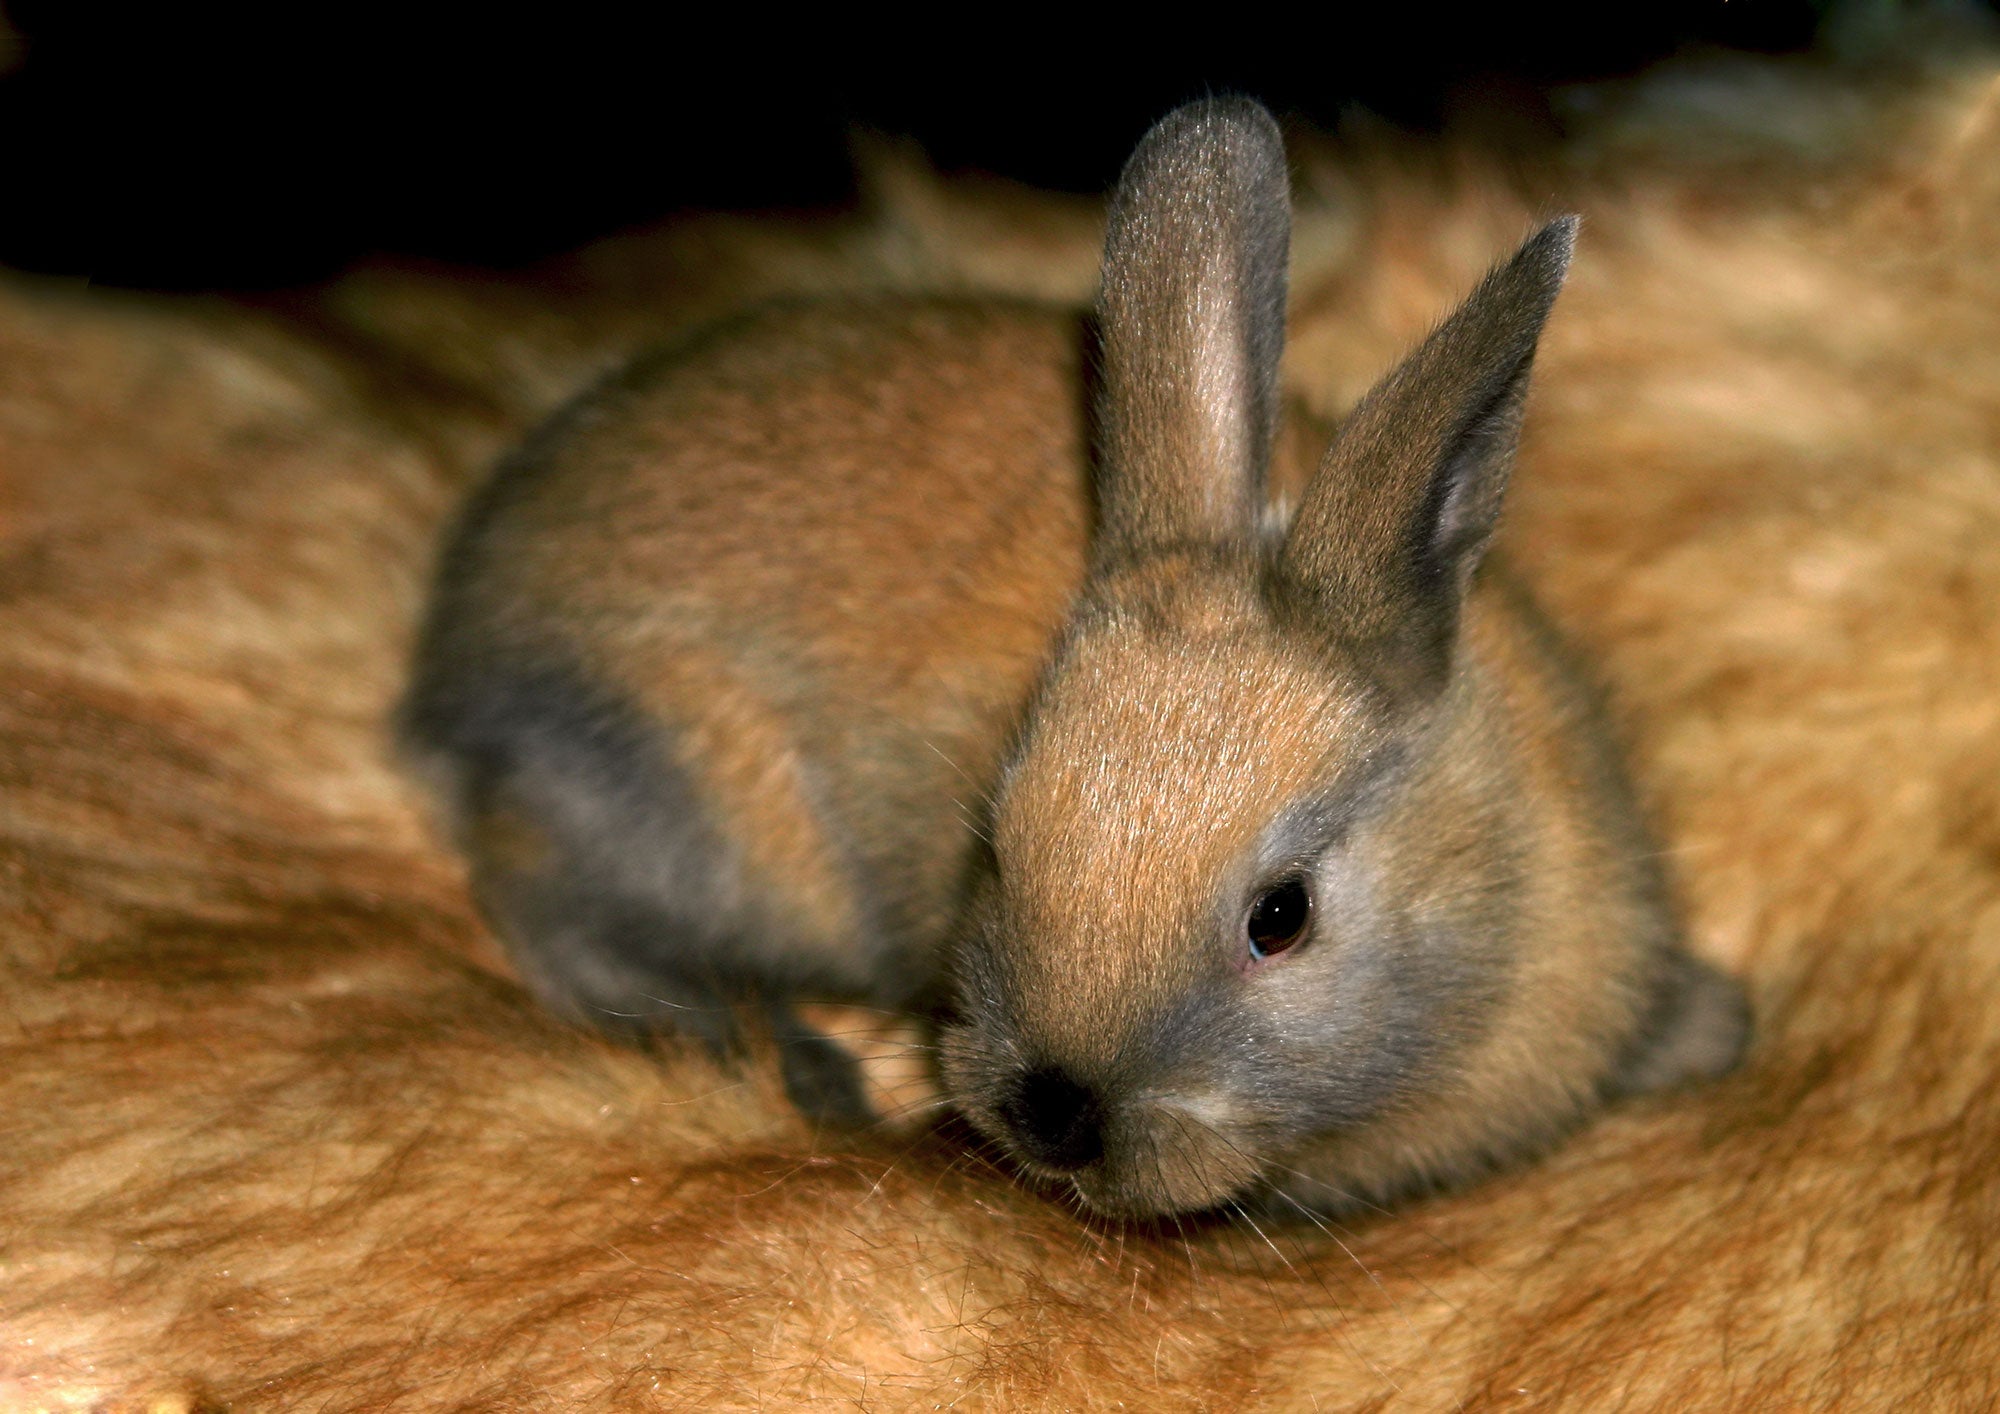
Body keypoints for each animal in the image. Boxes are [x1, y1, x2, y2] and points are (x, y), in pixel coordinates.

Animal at [406, 97, 1752, 1216]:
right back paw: (772, 1050)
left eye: (1280, 916)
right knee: (540, 901)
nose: (1051, 1114)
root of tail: (450, 663)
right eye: (994, 847)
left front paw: (1713, 1022)